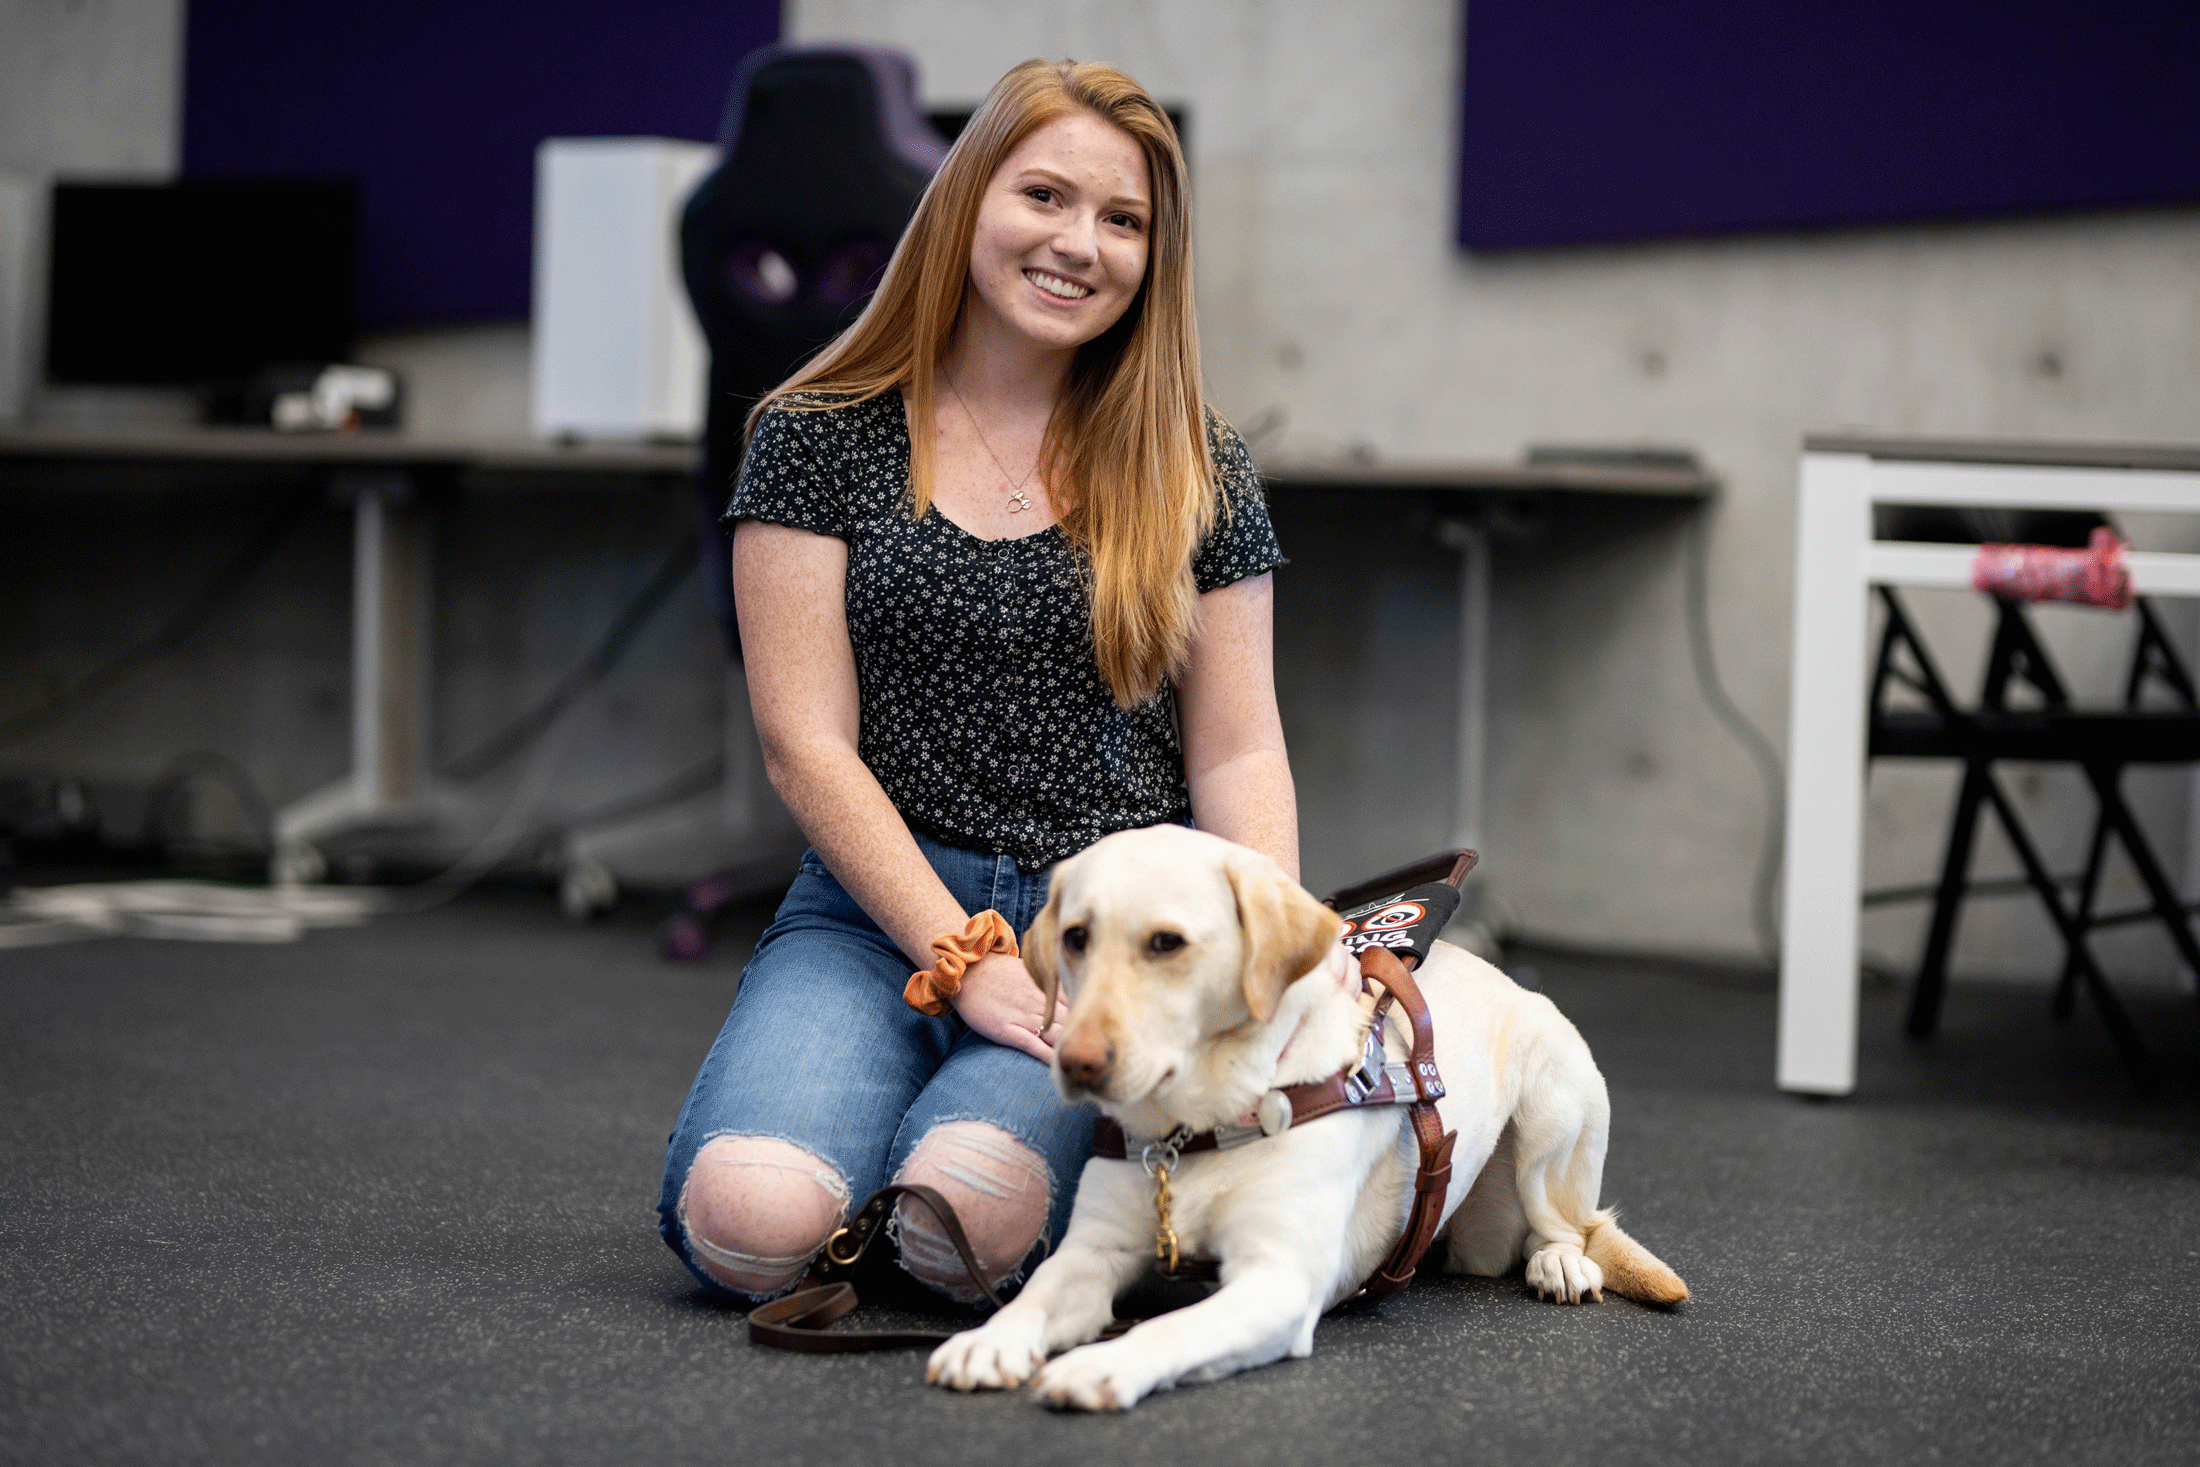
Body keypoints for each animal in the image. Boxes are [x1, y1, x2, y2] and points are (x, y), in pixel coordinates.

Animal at [928, 826, 1680, 1407]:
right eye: (1076, 937)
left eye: (1167, 942)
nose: (1077, 1061)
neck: (1200, 1125)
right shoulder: (1092, 1252)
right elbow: (1035, 1297)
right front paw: (990, 1339)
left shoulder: (1277, 1278)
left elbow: (1170, 1327)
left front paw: (1103, 1364)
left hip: (1553, 1108)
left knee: (1570, 1224)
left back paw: (1560, 1265)